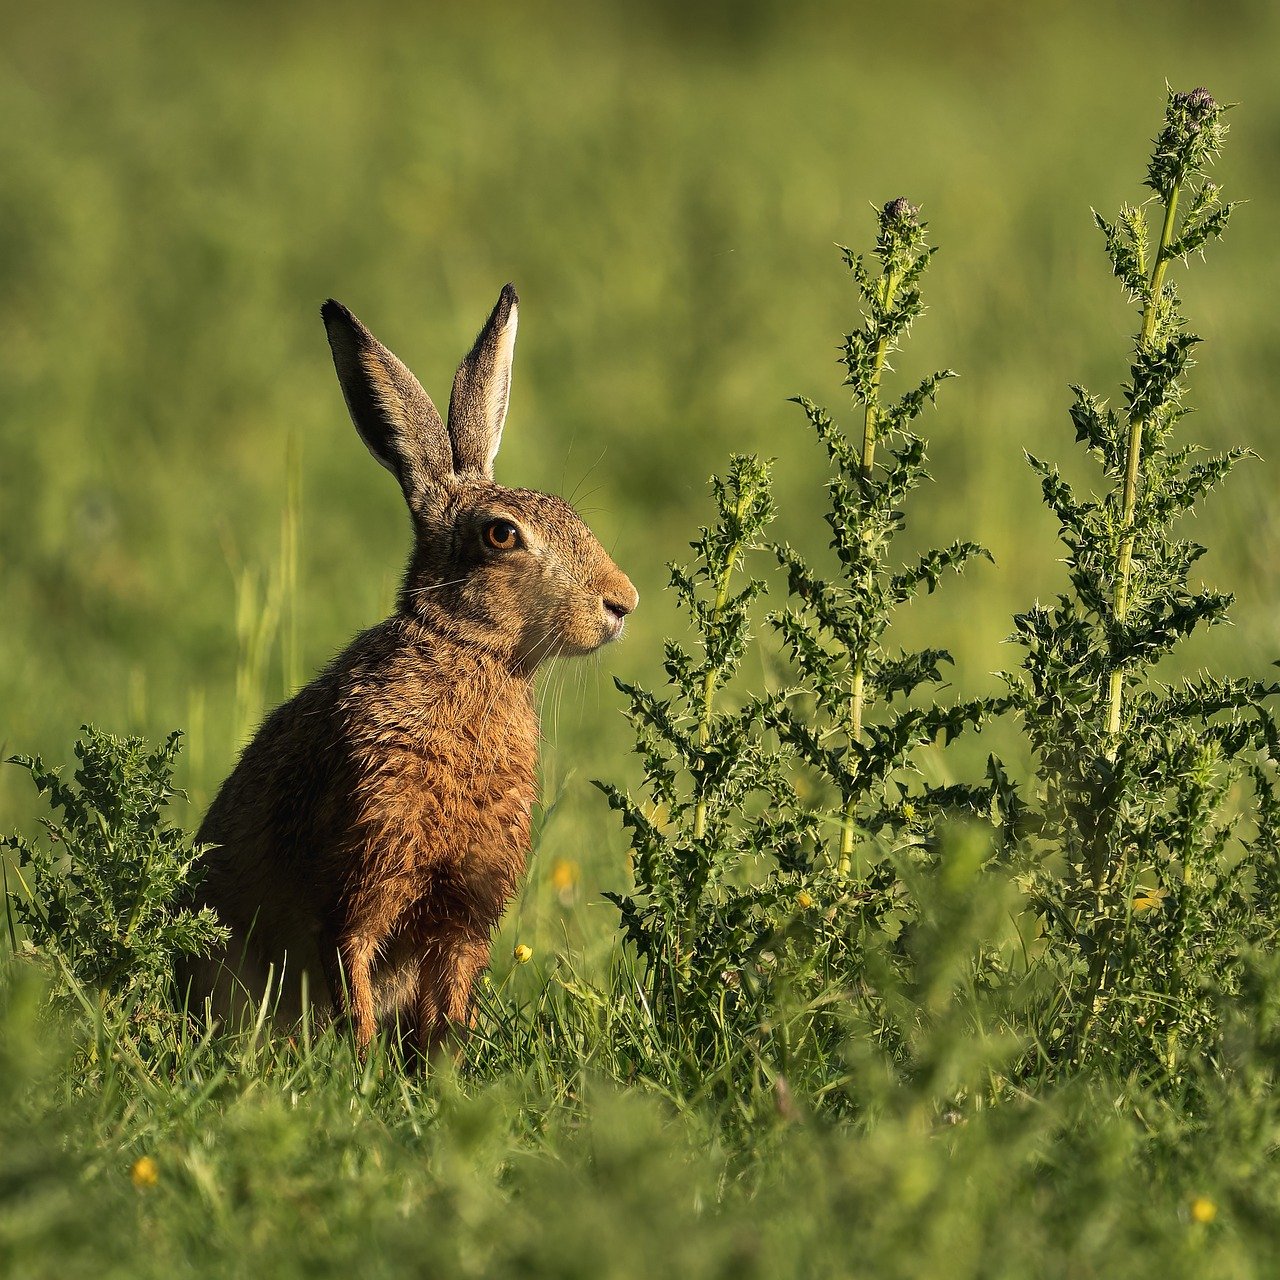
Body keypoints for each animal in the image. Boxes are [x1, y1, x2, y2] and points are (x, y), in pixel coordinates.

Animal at [182, 284, 638, 1057]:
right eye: (501, 535)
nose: (622, 602)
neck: (470, 657)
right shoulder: (364, 870)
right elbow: (353, 965)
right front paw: (363, 1062)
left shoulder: (464, 909)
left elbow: (449, 995)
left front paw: (443, 1067)